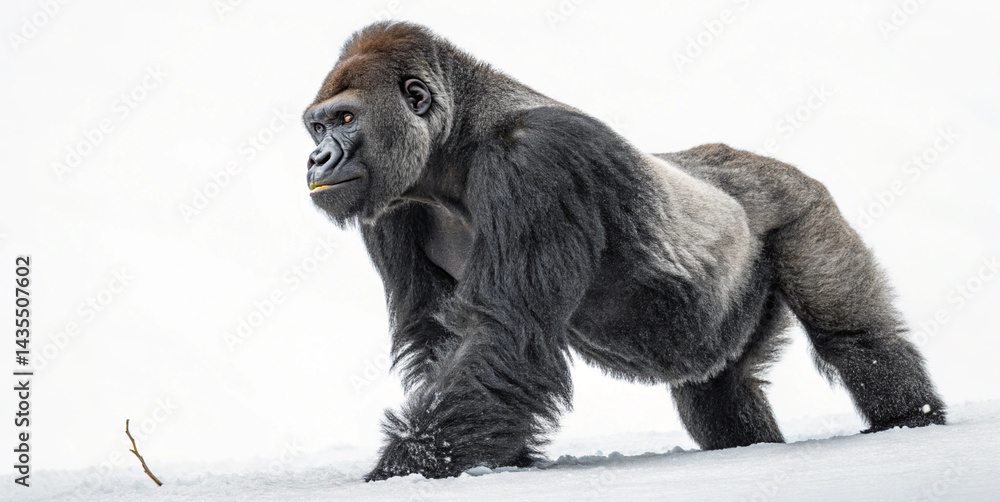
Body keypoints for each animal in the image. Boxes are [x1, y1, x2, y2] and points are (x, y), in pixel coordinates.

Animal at [301, 21, 946, 481]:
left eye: (346, 118)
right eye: (318, 127)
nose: (317, 160)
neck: (459, 140)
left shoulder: (539, 163)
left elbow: (502, 334)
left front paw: (407, 466)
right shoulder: (394, 207)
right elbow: (443, 339)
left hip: (802, 204)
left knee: (853, 336)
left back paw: (908, 418)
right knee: (718, 388)